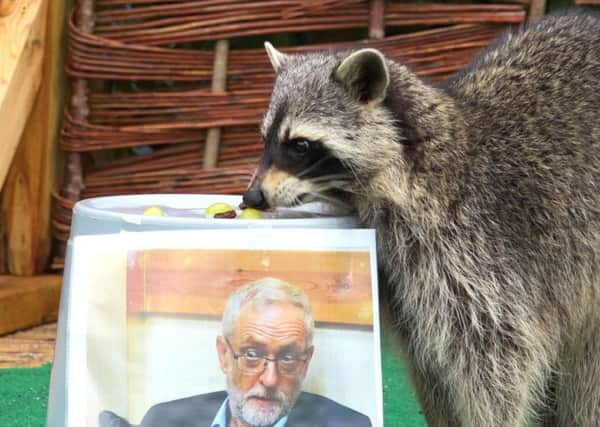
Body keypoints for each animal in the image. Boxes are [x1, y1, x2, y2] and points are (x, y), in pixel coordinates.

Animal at [240, 10, 600, 427]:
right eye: (265, 139)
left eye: (300, 145)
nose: (251, 196)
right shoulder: (403, 282)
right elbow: (428, 363)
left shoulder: (477, 254)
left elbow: (498, 361)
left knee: (587, 372)